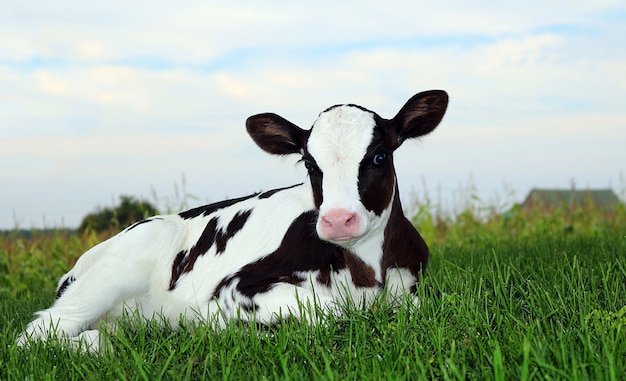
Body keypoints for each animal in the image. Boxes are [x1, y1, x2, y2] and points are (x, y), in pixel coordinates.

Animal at [17, 90, 446, 350]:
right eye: (309, 163)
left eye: (379, 156)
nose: (338, 220)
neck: (367, 273)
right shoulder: (236, 288)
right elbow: (328, 314)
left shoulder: (414, 286)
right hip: (132, 254)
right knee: (39, 332)